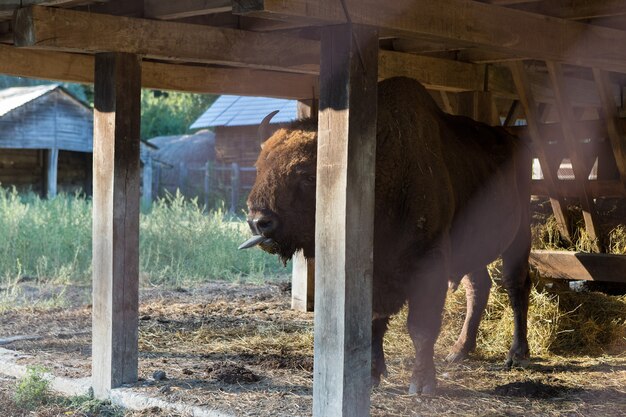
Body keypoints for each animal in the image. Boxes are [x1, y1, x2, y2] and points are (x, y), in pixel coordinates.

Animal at [239, 76, 532, 392]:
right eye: (258, 166)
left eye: (307, 174)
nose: (258, 221)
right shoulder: (374, 272)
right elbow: (373, 321)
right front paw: (371, 375)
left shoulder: (430, 262)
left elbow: (421, 326)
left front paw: (422, 384)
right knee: (478, 286)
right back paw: (459, 350)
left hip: (520, 235)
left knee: (516, 285)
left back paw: (517, 354)